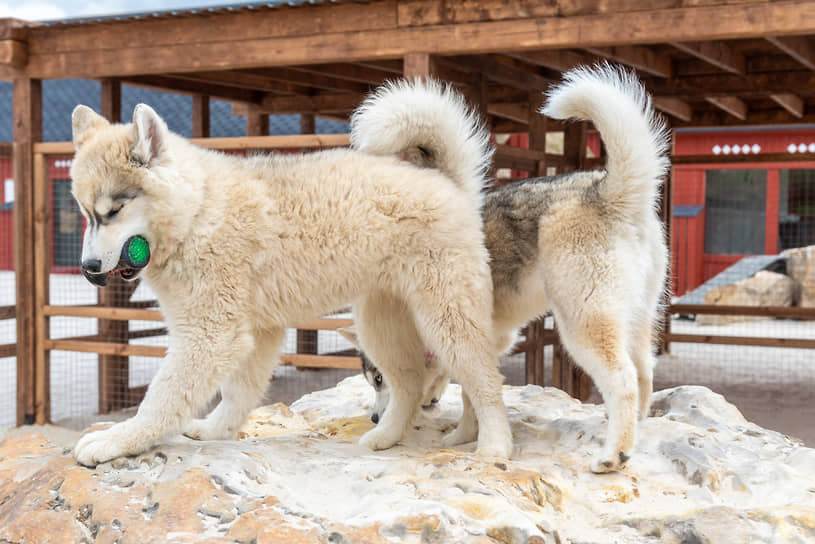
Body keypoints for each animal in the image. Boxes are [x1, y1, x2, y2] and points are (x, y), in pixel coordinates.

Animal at [68, 78, 510, 466]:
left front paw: (118, 440)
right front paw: (216, 431)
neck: (199, 212)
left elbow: (162, 399)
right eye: (87, 214)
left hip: (447, 320)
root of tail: (443, 179)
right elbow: (237, 393)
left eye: (113, 210)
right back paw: (386, 436)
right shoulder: (255, 334)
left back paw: (494, 446)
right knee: (410, 383)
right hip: (380, 323)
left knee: (486, 382)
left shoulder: (209, 334)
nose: (88, 268)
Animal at [344, 62, 668, 472]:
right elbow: (472, 394)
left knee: (623, 379)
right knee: (644, 374)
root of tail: (605, 191)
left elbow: (474, 391)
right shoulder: (491, 340)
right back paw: (633, 430)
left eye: (378, 380)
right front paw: (465, 435)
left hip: (582, 324)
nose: (373, 417)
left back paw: (614, 455)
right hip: (636, 320)